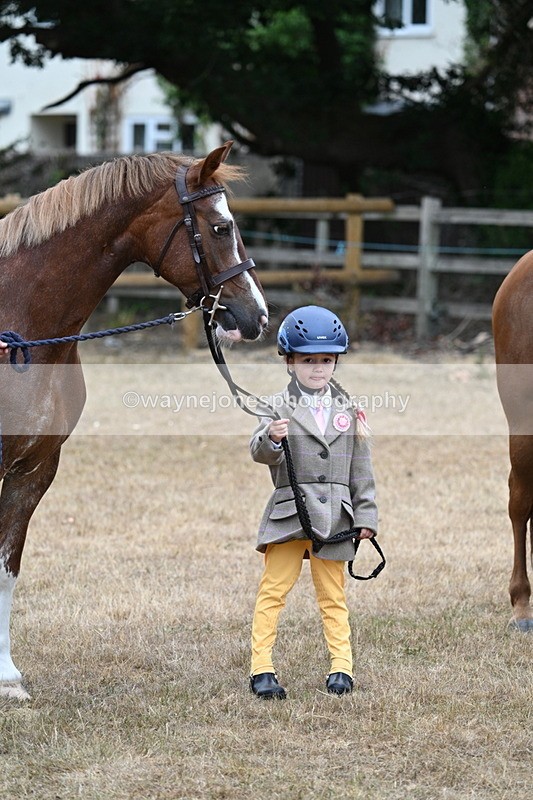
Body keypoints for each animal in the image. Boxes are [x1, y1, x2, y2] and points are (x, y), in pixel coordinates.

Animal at [0, 140, 268, 698]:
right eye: (220, 228)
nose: (257, 315)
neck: (23, 326)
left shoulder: (34, 469)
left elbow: (6, 568)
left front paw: (6, 676)